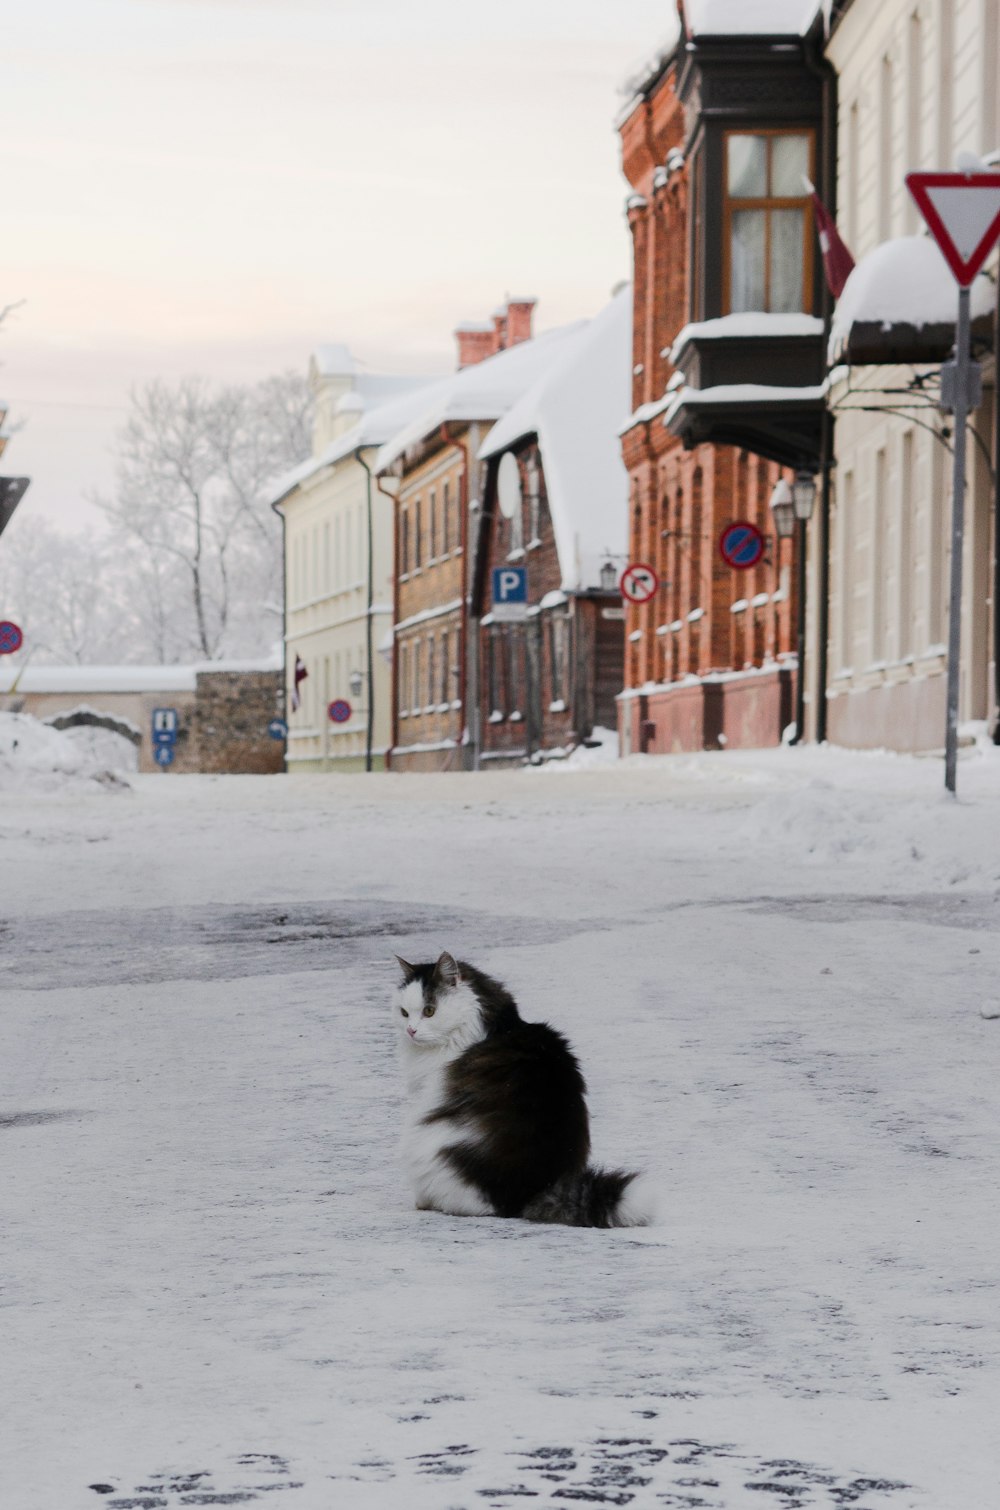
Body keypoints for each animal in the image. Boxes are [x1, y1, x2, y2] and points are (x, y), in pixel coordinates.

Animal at [392, 954, 658, 1226]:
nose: (411, 1030)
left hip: (421, 1141)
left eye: (429, 1011)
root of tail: (529, 1191)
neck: (494, 1024)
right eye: (404, 1013)